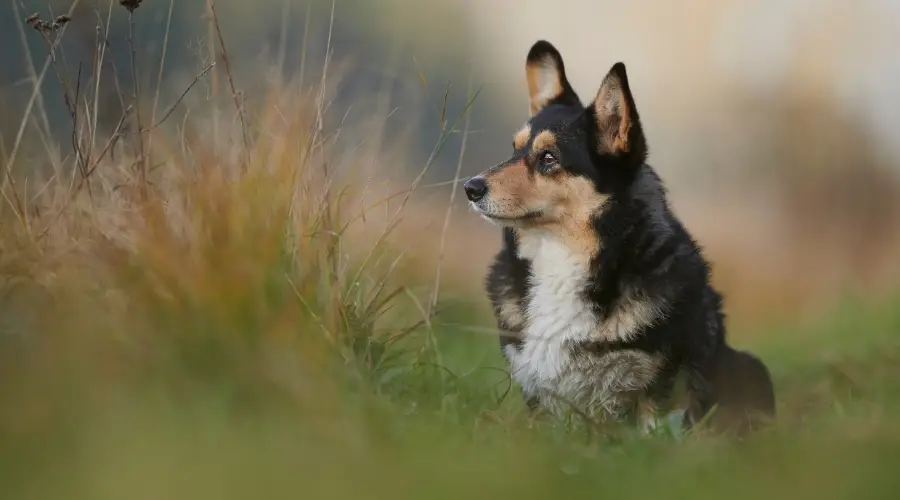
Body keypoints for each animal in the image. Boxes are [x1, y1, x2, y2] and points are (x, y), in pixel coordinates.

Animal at [464, 40, 772, 434]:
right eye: (514, 148)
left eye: (548, 157)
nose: (470, 188)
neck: (560, 257)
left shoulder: (659, 389)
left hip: (751, 368)